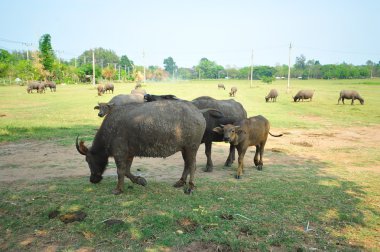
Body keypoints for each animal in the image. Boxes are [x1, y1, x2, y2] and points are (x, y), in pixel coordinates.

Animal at [76, 100, 206, 195]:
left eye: (88, 160)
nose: (92, 179)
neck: (109, 131)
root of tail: (198, 112)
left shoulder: (119, 153)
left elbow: (120, 171)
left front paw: (118, 189)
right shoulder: (129, 154)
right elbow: (127, 171)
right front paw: (140, 180)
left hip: (191, 147)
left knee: (192, 165)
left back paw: (191, 186)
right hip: (184, 149)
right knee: (187, 164)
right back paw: (181, 182)